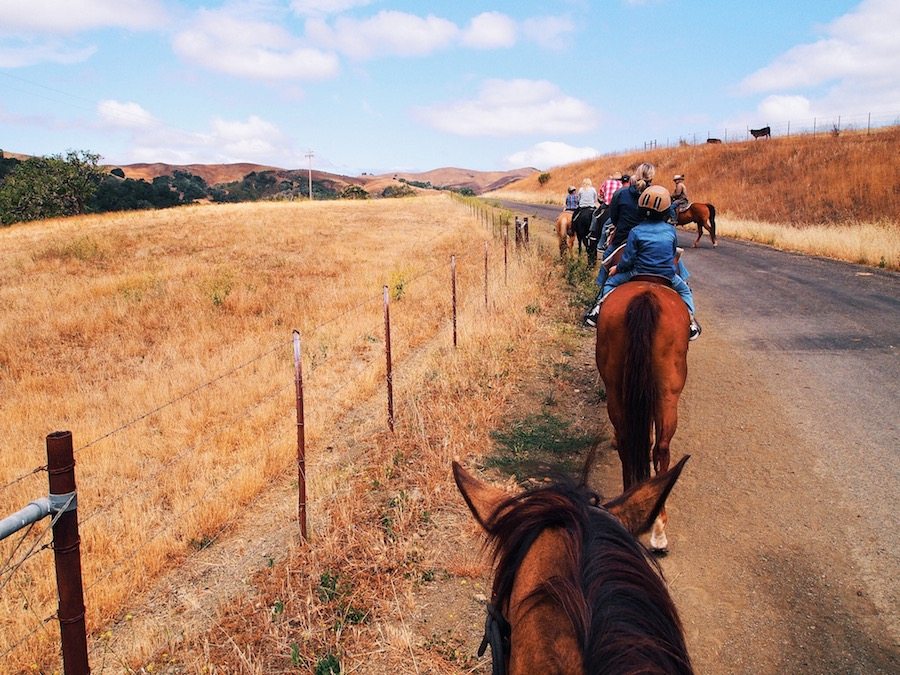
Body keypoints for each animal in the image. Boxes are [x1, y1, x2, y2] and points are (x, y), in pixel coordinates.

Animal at [596, 282, 688, 552]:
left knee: (635, 441)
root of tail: (646, 297)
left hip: (619, 386)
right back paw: (657, 527)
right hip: (667, 392)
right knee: (660, 447)